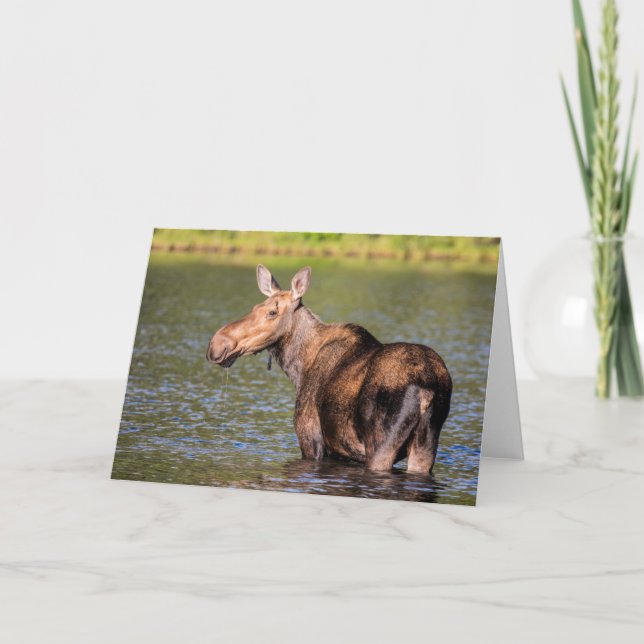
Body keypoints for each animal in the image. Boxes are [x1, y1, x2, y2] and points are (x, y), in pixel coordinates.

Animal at [207, 265, 452, 475]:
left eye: (272, 312)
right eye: (255, 308)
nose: (217, 344)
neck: (298, 367)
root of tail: (428, 389)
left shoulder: (311, 440)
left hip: (381, 446)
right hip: (425, 446)